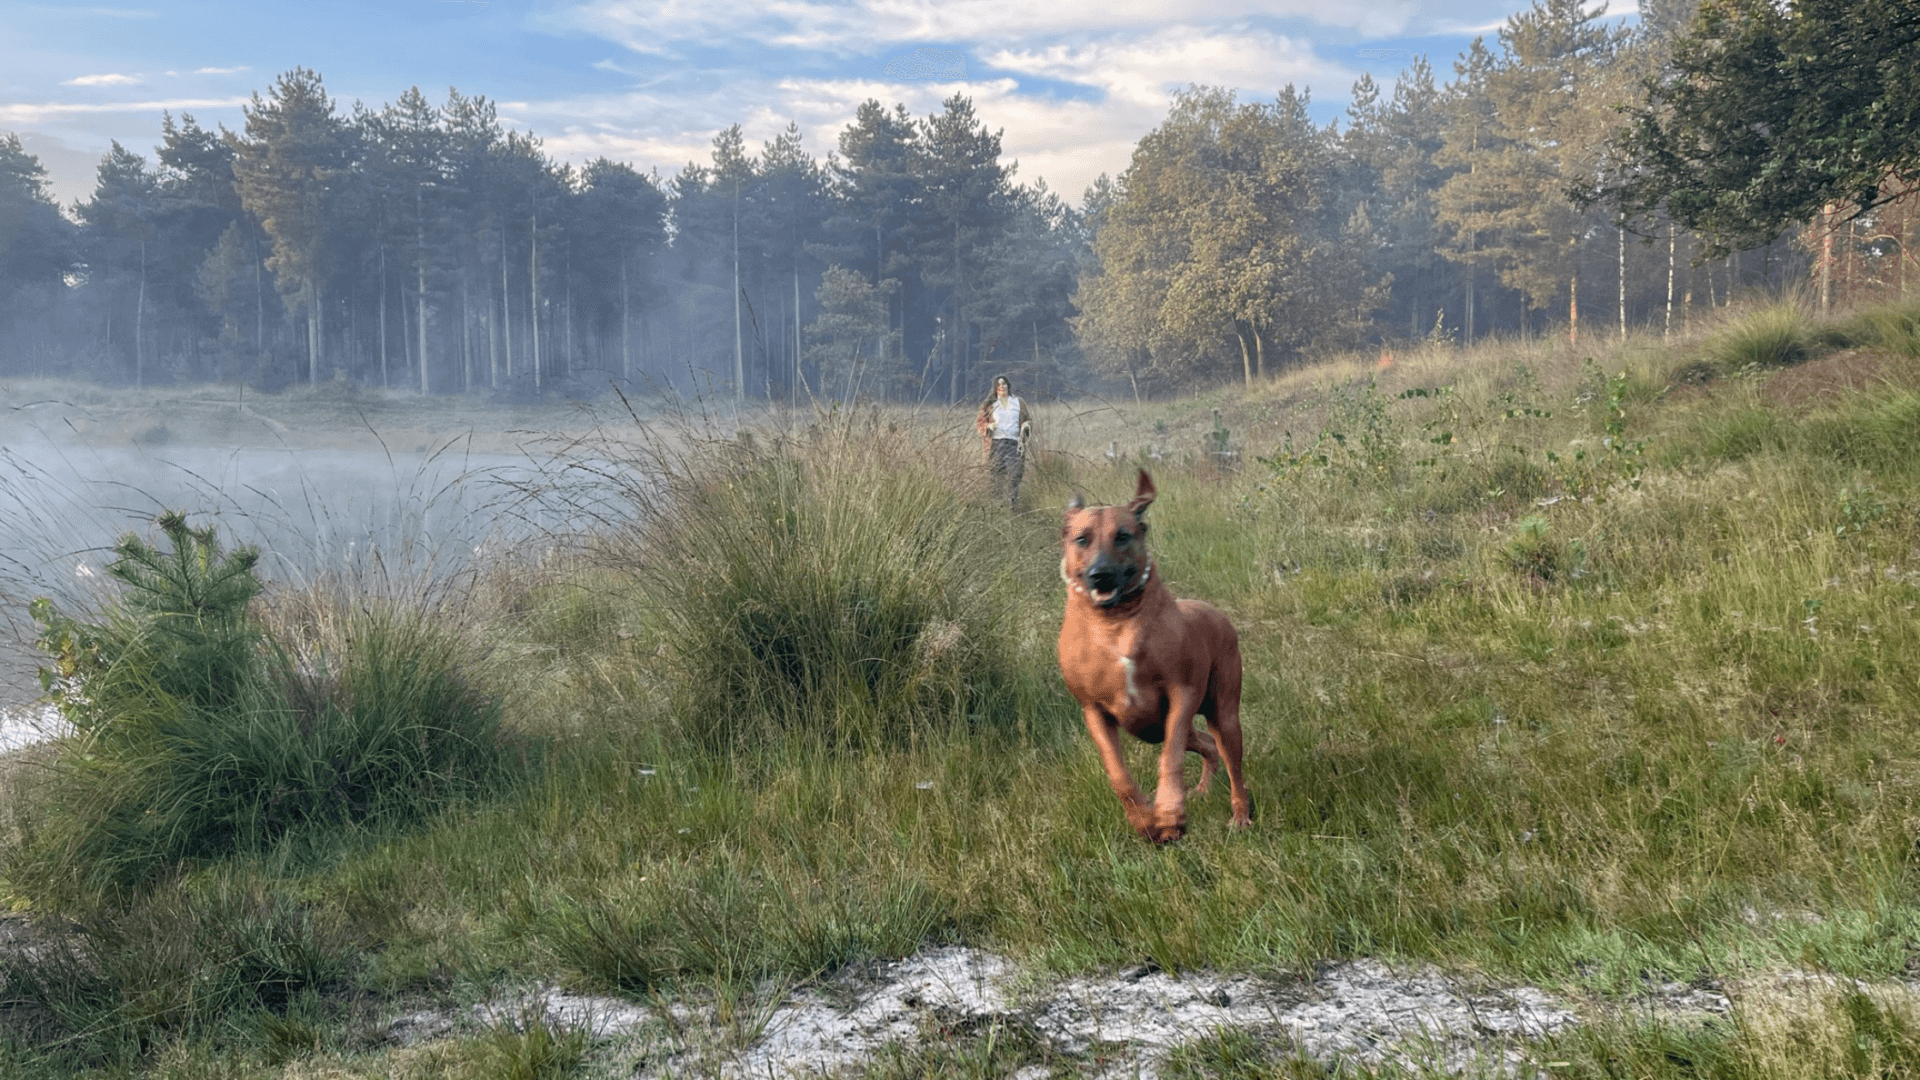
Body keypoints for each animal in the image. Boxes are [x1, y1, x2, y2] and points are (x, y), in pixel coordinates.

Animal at [1059, 466, 1251, 837]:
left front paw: (1170, 811)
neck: (1116, 623)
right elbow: (1118, 775)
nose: (1100, 575)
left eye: (1123, 536)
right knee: (1206, 744)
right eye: (1082, 539)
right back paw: (1203, 790)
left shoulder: (1181, 693)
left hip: (1222, 712)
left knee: (1229, 759)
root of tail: (1216, 612)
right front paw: (1145, 819)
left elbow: (1170, 756)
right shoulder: (1093, 710)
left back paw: (1240, 815)